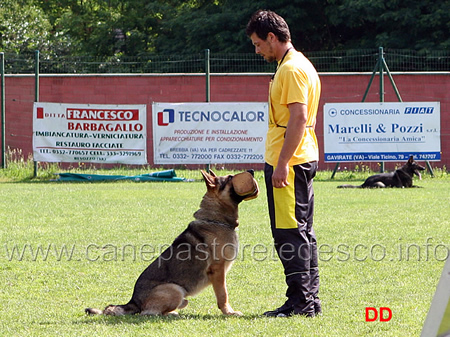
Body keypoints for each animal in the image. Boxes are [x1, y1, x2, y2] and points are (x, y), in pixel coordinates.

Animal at [85, 169, 258, 316]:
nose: (251, 171)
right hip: (175, 290)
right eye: (230, 177)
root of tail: (133, 301)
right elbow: (223, 295)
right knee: (149, 313)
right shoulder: (217, 271)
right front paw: (229, 312)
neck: (216, 220)